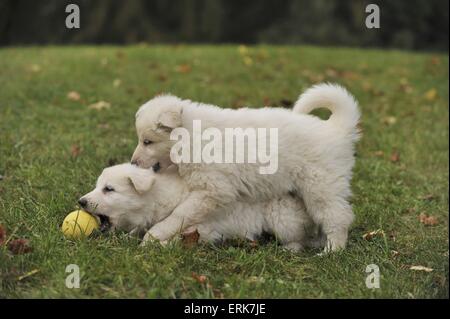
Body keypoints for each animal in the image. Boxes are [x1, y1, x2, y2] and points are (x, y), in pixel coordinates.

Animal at [77, 165, 324, 252]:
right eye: (98, 186)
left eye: (109, 189)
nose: (81, 201)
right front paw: (129, 237)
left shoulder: (203, 228)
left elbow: (170, 236)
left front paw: (155, 243)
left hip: (282, 219)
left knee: (297, 239)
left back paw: (289, 249)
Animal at [132, 84, 360, 252]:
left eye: (147, 142)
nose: (133, 163)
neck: (191, 136)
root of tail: (336, 129)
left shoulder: (213, 190)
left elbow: (179, 214)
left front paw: (154, 235)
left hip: (320, 186)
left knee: (338, 217)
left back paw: (332, 251)